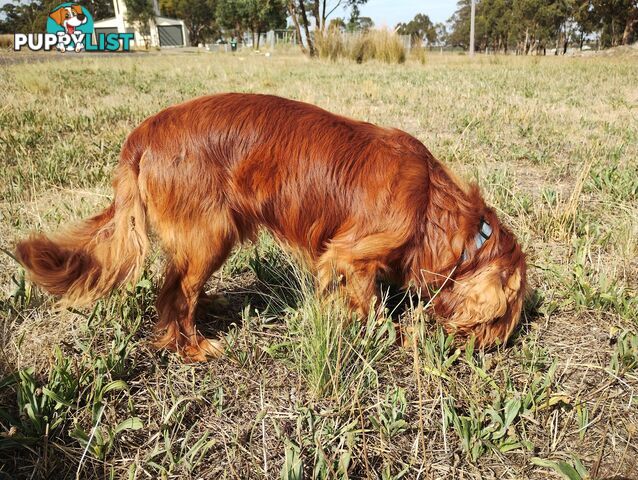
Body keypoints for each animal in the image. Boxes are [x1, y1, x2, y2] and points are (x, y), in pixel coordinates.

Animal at [16, 94, 524, 362]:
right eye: (505, 319)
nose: (494, 349)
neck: (432, 206)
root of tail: (140, 135)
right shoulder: (349, 254)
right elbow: (373, 307)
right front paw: (396, 336)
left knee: (181, 284)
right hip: (212, 234)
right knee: (174, 293)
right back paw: (194, 347)